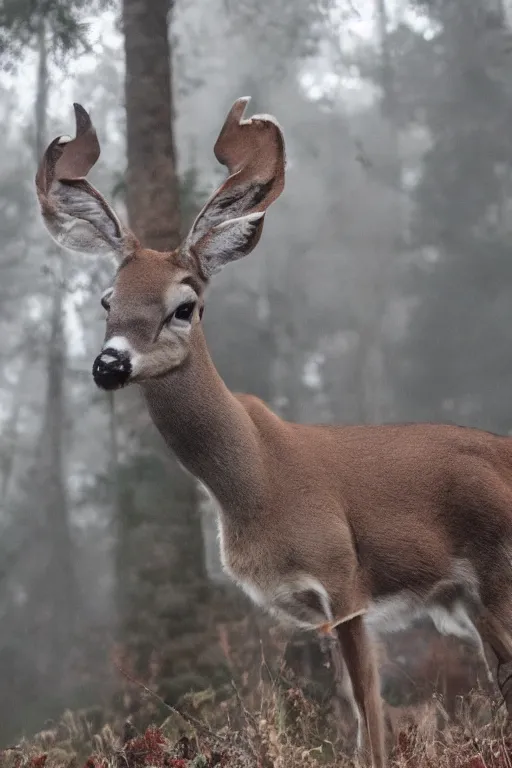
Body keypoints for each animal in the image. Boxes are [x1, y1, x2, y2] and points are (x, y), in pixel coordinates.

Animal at [35, 102, 512, 768]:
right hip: (470, 599)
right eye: (109, 299)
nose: (109, 364)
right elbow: (357, 710)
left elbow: (371, 714)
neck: (258, 479)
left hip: (497, 572)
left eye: (184, 306)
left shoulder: (343, 577)